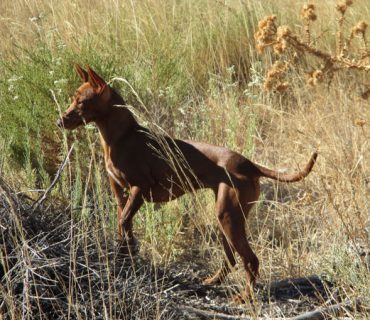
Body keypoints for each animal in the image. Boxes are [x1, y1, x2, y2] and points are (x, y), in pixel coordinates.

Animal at [56, 65, 316, 300]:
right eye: (74, 99)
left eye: (81, 102)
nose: (60, 122)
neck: (121, 137)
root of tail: (249, 164)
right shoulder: (121, 194)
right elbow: (123, 226)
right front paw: (125, 256)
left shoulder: (141, 188)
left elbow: (122, 222)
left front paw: (128, 253)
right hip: (228, 217)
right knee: (231, 258)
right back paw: (213, 282)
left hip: (228, 216)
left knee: (250, 260)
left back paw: (245, 297)